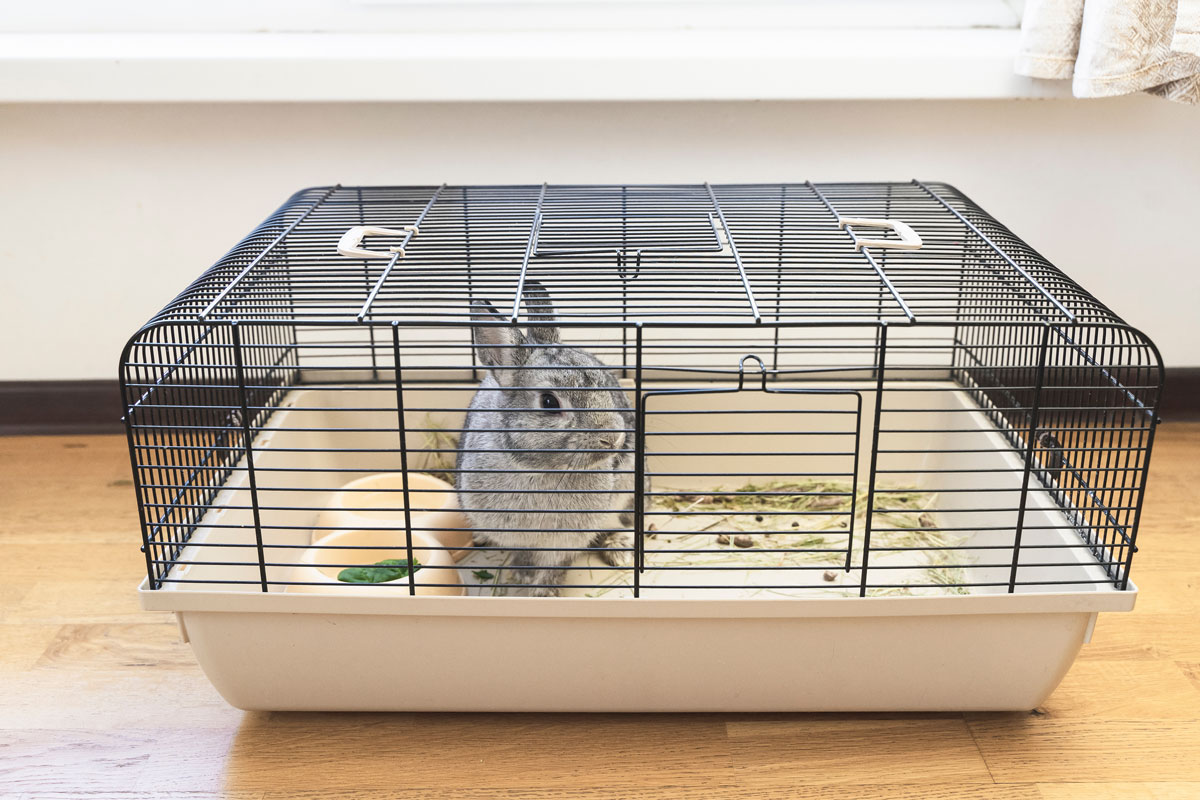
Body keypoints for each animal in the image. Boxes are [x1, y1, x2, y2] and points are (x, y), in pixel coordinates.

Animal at [456, 282, 636, 596]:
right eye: (549, 402)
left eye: (604, 385)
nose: (613, 438)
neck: (536, 466)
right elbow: (525, 555)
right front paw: (521, 575)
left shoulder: (566, 539)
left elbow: (556, 565)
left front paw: (544, 592)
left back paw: (619, 551)